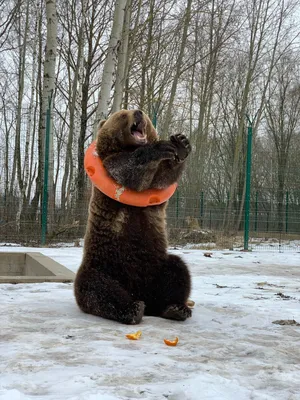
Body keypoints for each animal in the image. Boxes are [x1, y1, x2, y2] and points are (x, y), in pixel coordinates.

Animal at [75, 108, 192, 324]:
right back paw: (132, 309)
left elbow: (164, 177)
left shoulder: (157, 192)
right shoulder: (111, 163)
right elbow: (129, 171)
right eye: (122, 114)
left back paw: (175, 308)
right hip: (105, 266)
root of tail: (141, 292)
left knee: (177, 271)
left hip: (156, 266)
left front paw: (181, 144)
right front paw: (157, 148)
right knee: (99, 288)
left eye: (144, 114)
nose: (138, 112)